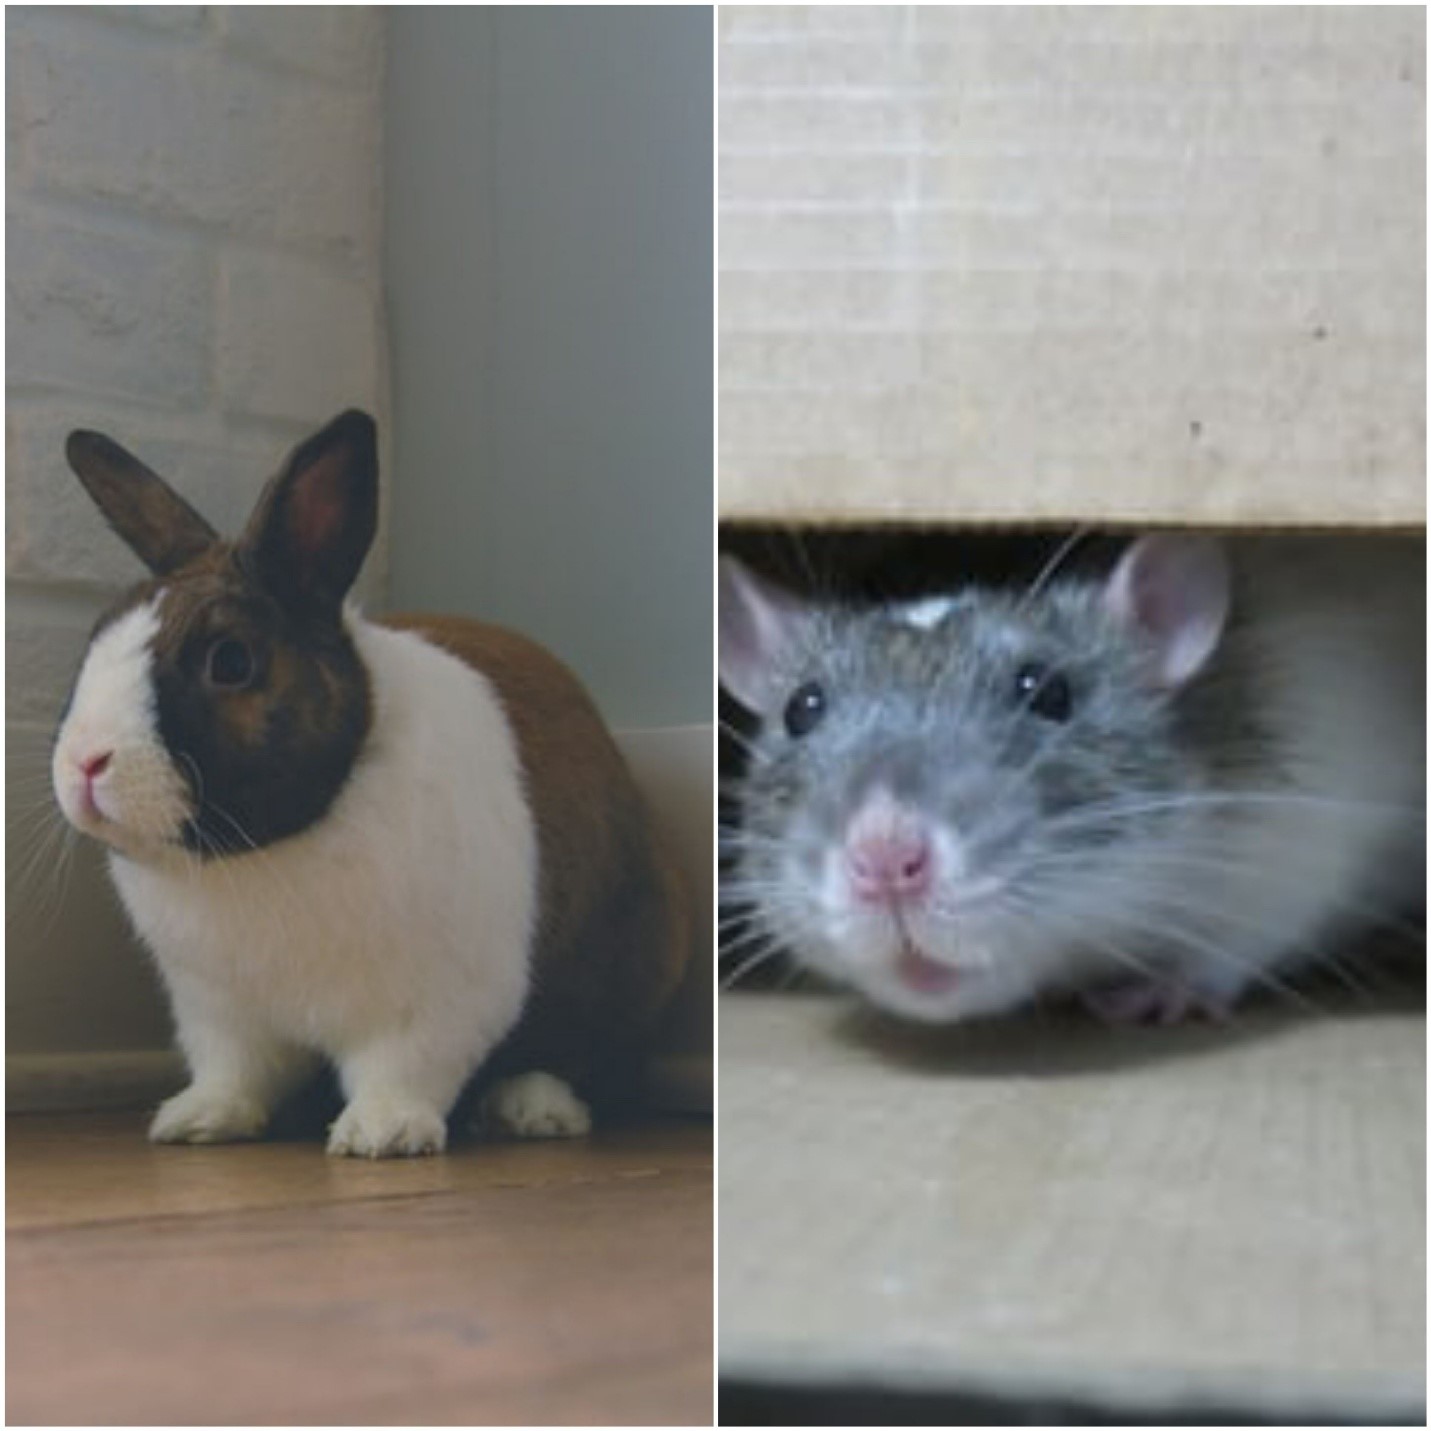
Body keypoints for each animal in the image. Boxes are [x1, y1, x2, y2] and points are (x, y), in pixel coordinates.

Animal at [51, 409, 689, 1157]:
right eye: (94, 641)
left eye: (230, 661)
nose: (86, 762)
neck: (261, 852)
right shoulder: (219, 1011)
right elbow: (234, 1072)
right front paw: (196, 1119)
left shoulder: (438, 1000)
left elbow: (402, 1066)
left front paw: (381, 1133)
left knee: (576, 1056)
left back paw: (531, 1110)